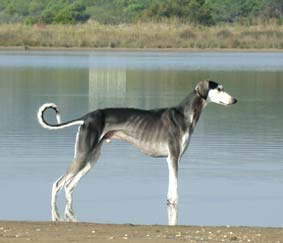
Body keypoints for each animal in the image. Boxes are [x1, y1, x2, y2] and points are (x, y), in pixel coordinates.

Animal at [37, 80, 237, 226]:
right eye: (219, 89)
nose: (235, 100)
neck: (183, 115)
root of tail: (87, 117)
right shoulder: (173, 158)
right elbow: (175, 189)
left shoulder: (172, 159)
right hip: (83, 155)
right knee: (58, 184)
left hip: (92, 158)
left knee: (69, 186)